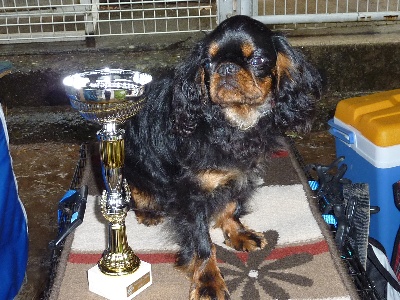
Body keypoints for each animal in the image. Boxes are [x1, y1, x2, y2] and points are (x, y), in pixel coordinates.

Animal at [123, 15, 320, 300]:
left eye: (257, 60)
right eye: (208, 61)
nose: (225, 68)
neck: (231, 122)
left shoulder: (240, 175)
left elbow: (230, 205)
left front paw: (238, 233)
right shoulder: (192, 194)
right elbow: (202, 243)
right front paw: (208, 281)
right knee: (133, 187)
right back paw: (147, 209)